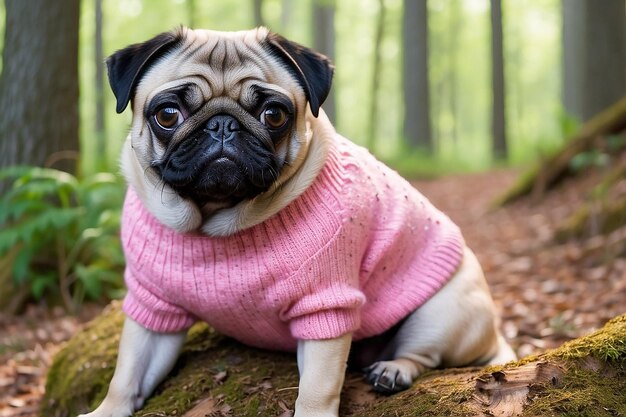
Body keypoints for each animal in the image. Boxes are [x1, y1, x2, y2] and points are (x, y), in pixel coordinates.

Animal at [80, 26, 516, 416]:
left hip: (442, 313)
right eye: (167, 115)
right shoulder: (153, 308)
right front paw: (106, 410)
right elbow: (126, 376)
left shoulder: (325, 307)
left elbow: (317, 390)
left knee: (424, 354)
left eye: (274, 115)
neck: (216, 220)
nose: (222, 124)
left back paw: (394, 369)